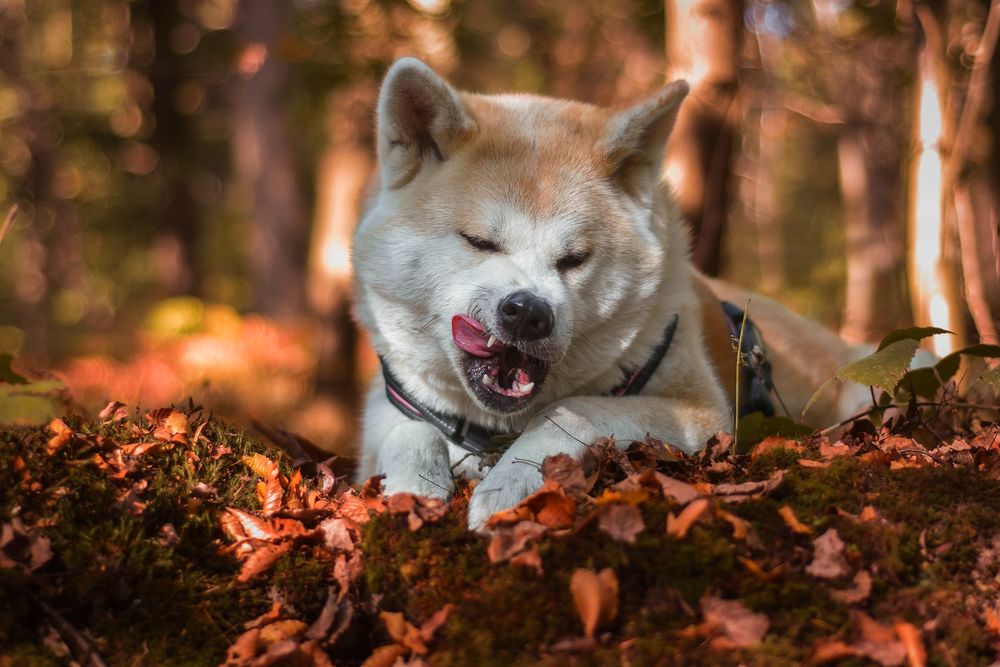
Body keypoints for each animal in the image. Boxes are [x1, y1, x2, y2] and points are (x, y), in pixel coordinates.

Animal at [352, 57, 868, 528]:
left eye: (574, 259)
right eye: (479, 242)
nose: (528, 313)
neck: (491, 427)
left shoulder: (701, 411)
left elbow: (569, 408)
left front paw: (512, 481)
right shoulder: (390, 412)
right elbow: (408, 431)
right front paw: (413, 487)